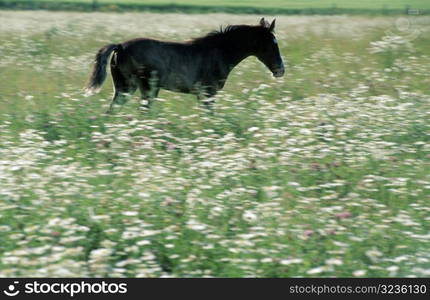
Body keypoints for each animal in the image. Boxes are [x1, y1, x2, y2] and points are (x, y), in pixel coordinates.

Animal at [85, 17, 284, 113]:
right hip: (146, 88)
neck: (219, 51)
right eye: (271, 44)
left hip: (125, 87)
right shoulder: (208, 93)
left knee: (112, 110)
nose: (280, 70)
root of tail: (120, 46)